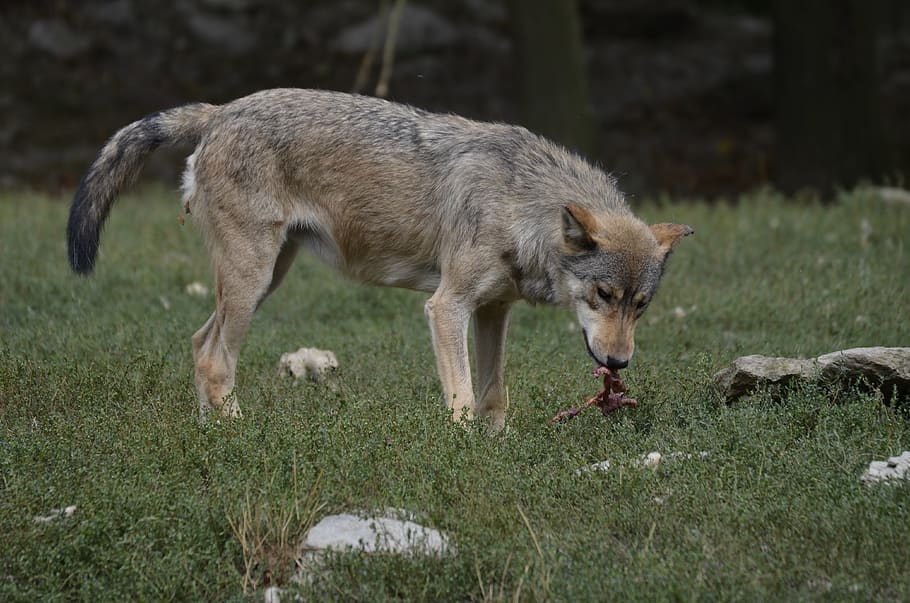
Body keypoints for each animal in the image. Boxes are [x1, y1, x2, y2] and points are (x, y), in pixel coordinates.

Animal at [67, 88, 692, 428]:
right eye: (603, 296)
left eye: (640, 306)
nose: (619, 364)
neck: (522, 205)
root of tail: (221, 111)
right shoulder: (446, 307)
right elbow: (463, 399)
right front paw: (465, 455)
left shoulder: (494, 311)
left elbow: (494, 396)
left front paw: (499, 451)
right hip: (252, 280)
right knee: (216, 360)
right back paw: (240, 437)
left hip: (266, 279)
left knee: (200, 345)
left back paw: (212, 433)